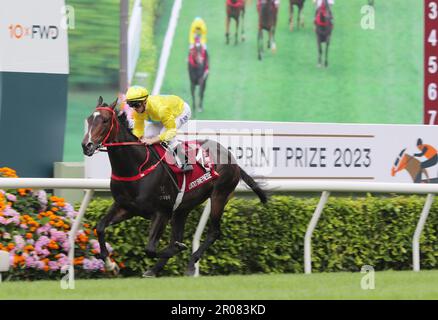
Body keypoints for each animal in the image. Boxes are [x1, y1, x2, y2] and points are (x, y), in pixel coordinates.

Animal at [81, 97, 266, 278]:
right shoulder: (125, 207)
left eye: (105, 120)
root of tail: (232, 158)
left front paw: (179, 248)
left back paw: (191, 262)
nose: (86, 145)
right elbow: (100, 227)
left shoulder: (162, 212)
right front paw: (110, 264)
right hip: (183, 208)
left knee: (214, 232)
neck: (136, 166)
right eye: (89, 119)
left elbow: (150, 249)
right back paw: (156, 269)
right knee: (180, 233)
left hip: (219, 195)